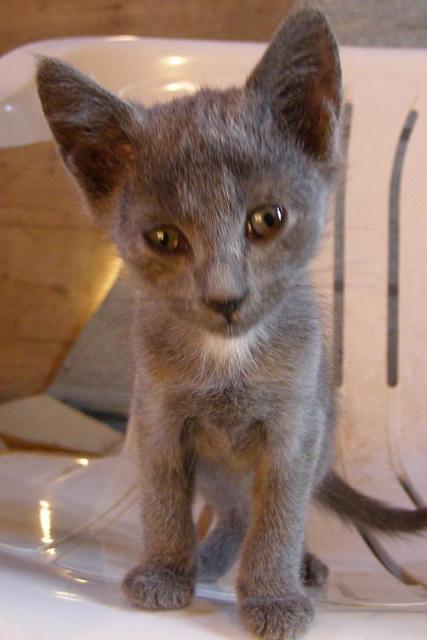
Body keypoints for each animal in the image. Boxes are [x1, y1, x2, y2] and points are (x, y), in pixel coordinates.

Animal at [36, 10, 427, 640]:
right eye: (163, 237)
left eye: (268, 219)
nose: (225, 296)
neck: (229, 360)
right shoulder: (158, 418)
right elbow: (164, 501)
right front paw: (168, 570)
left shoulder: (296, 429)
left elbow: (281, 516)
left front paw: (272, 594)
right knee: (233, 510)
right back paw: (213, 554)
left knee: (262, 510)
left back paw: (296, 566)